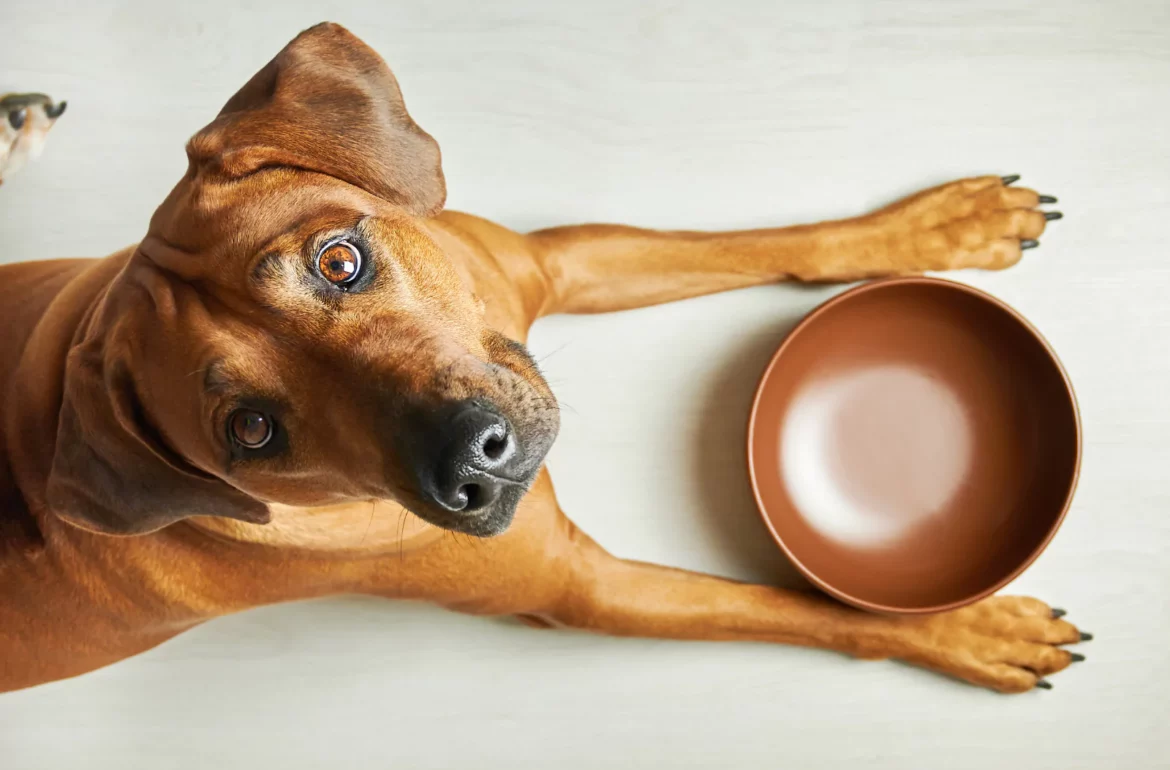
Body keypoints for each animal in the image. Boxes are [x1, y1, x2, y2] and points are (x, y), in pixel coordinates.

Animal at [0, 22, 1085, 688]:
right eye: (253, 431)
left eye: (339, 260)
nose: (469, 461)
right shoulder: (588, 591)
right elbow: (801, 609)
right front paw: (965, 628)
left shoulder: (547, 263)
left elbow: (767, 241)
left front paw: (940, 224)